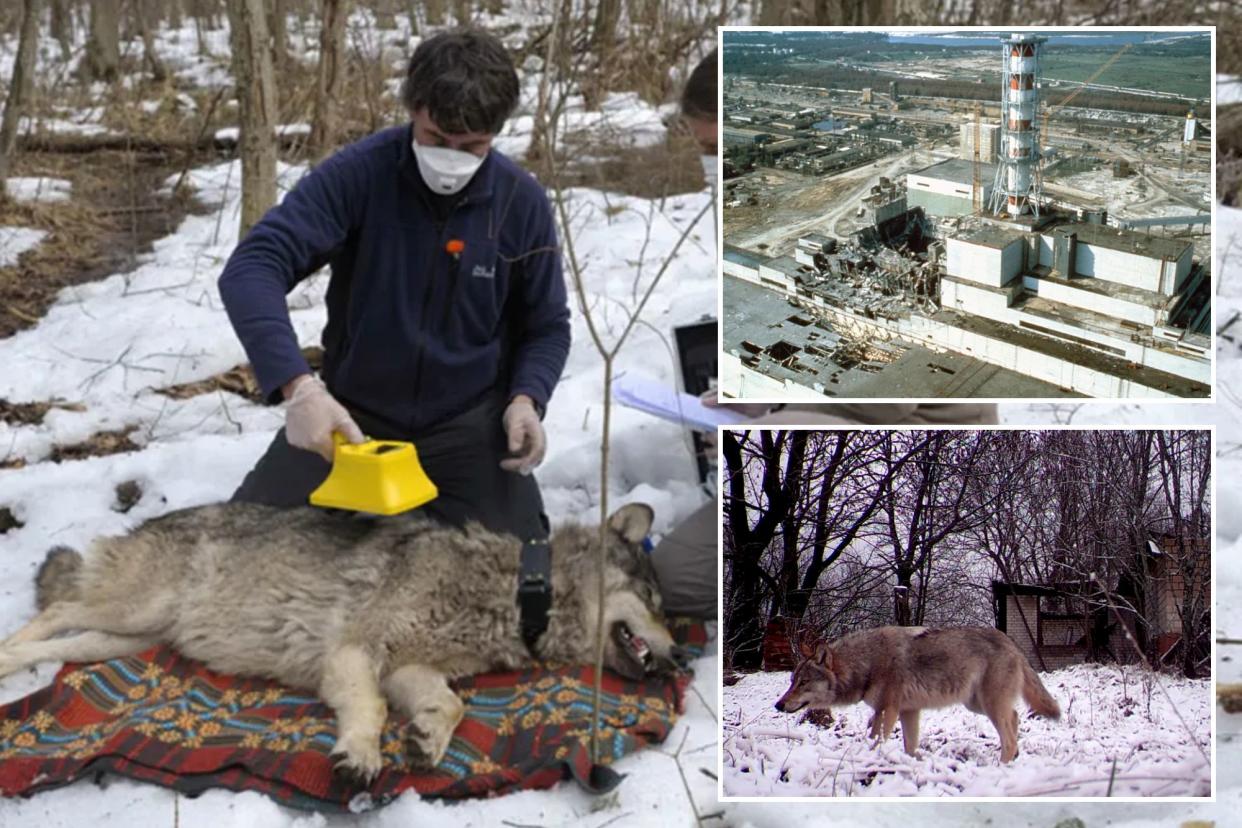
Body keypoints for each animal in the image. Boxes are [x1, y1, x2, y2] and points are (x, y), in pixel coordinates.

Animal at [0, 501, 690, 779]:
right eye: (654, 602)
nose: (682, 657)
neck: (518, 591)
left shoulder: (408, 668)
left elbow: (450, 704)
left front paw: (426, 741)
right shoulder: (356, 653)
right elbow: (373, 710)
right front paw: (360, 756)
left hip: (121, 640)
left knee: (58, 641)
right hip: (134, 608)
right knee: (55, 609)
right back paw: (5, 654)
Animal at [775, 628, 1058, 764]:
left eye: (803, 682)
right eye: (791, 682)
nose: (778, 705)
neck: (867, 662)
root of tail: (1012, 642)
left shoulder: (887, 710)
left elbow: (876, 740)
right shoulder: (908, 711)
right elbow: (909, 746)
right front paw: (907, 763)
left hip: (988, 706)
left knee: (1008, 735)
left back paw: (1001, 767)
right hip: (976, 705)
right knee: (1016, 717)